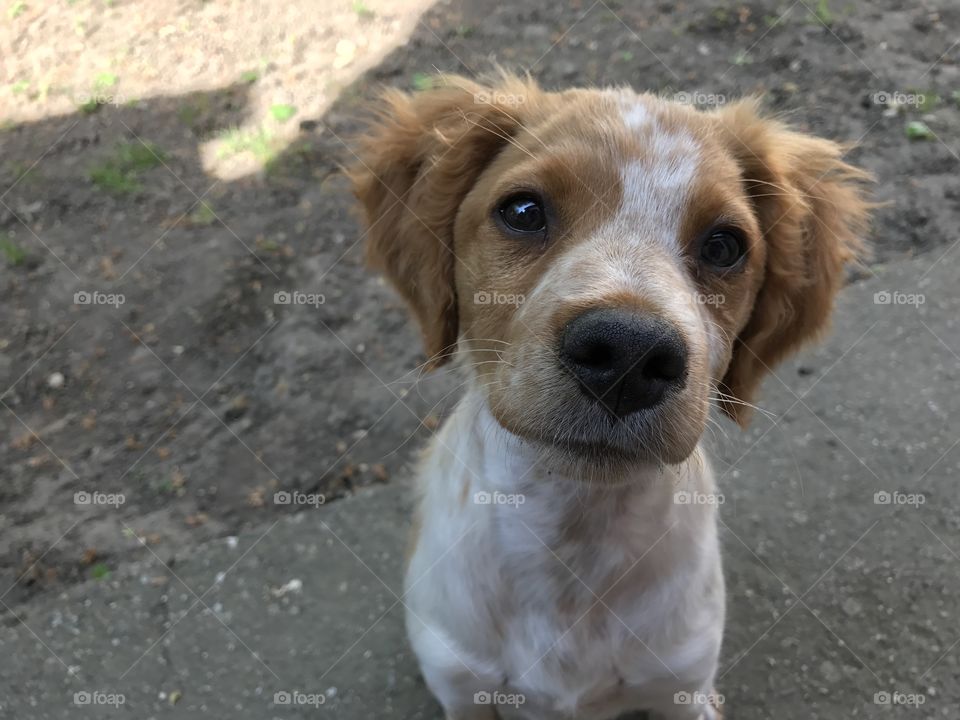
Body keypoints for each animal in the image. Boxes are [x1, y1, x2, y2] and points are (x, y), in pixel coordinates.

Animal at [348, 77, 868, 720]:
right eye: (523, 212)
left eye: (725, 246)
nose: (627, 355)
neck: (574, 537)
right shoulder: (461, 687)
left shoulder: (684, 688)